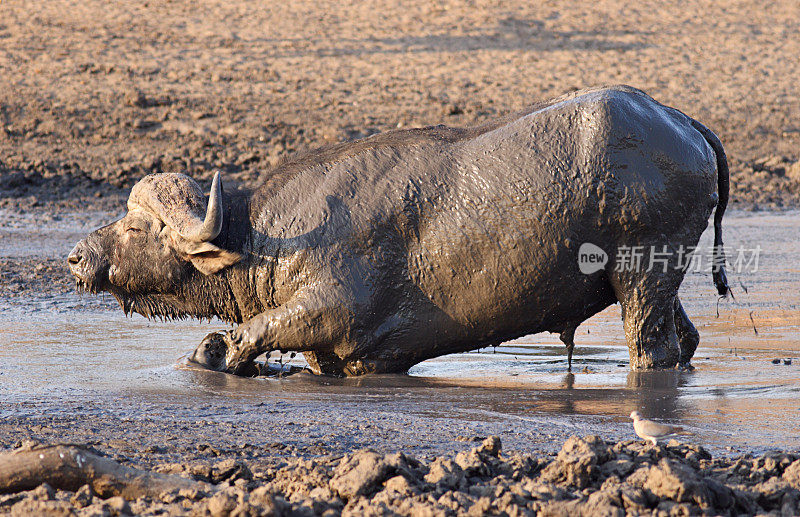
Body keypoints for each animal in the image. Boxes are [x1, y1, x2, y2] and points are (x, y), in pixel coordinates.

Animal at [70, 84, 732, 374]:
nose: (77, 256)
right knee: (686, 338)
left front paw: (217, 352)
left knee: (653, 347)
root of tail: (679, 120)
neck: (260, 239)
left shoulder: (332, 308)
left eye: (138, 225)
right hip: (656, 277)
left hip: (643, 273)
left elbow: (253, 331)